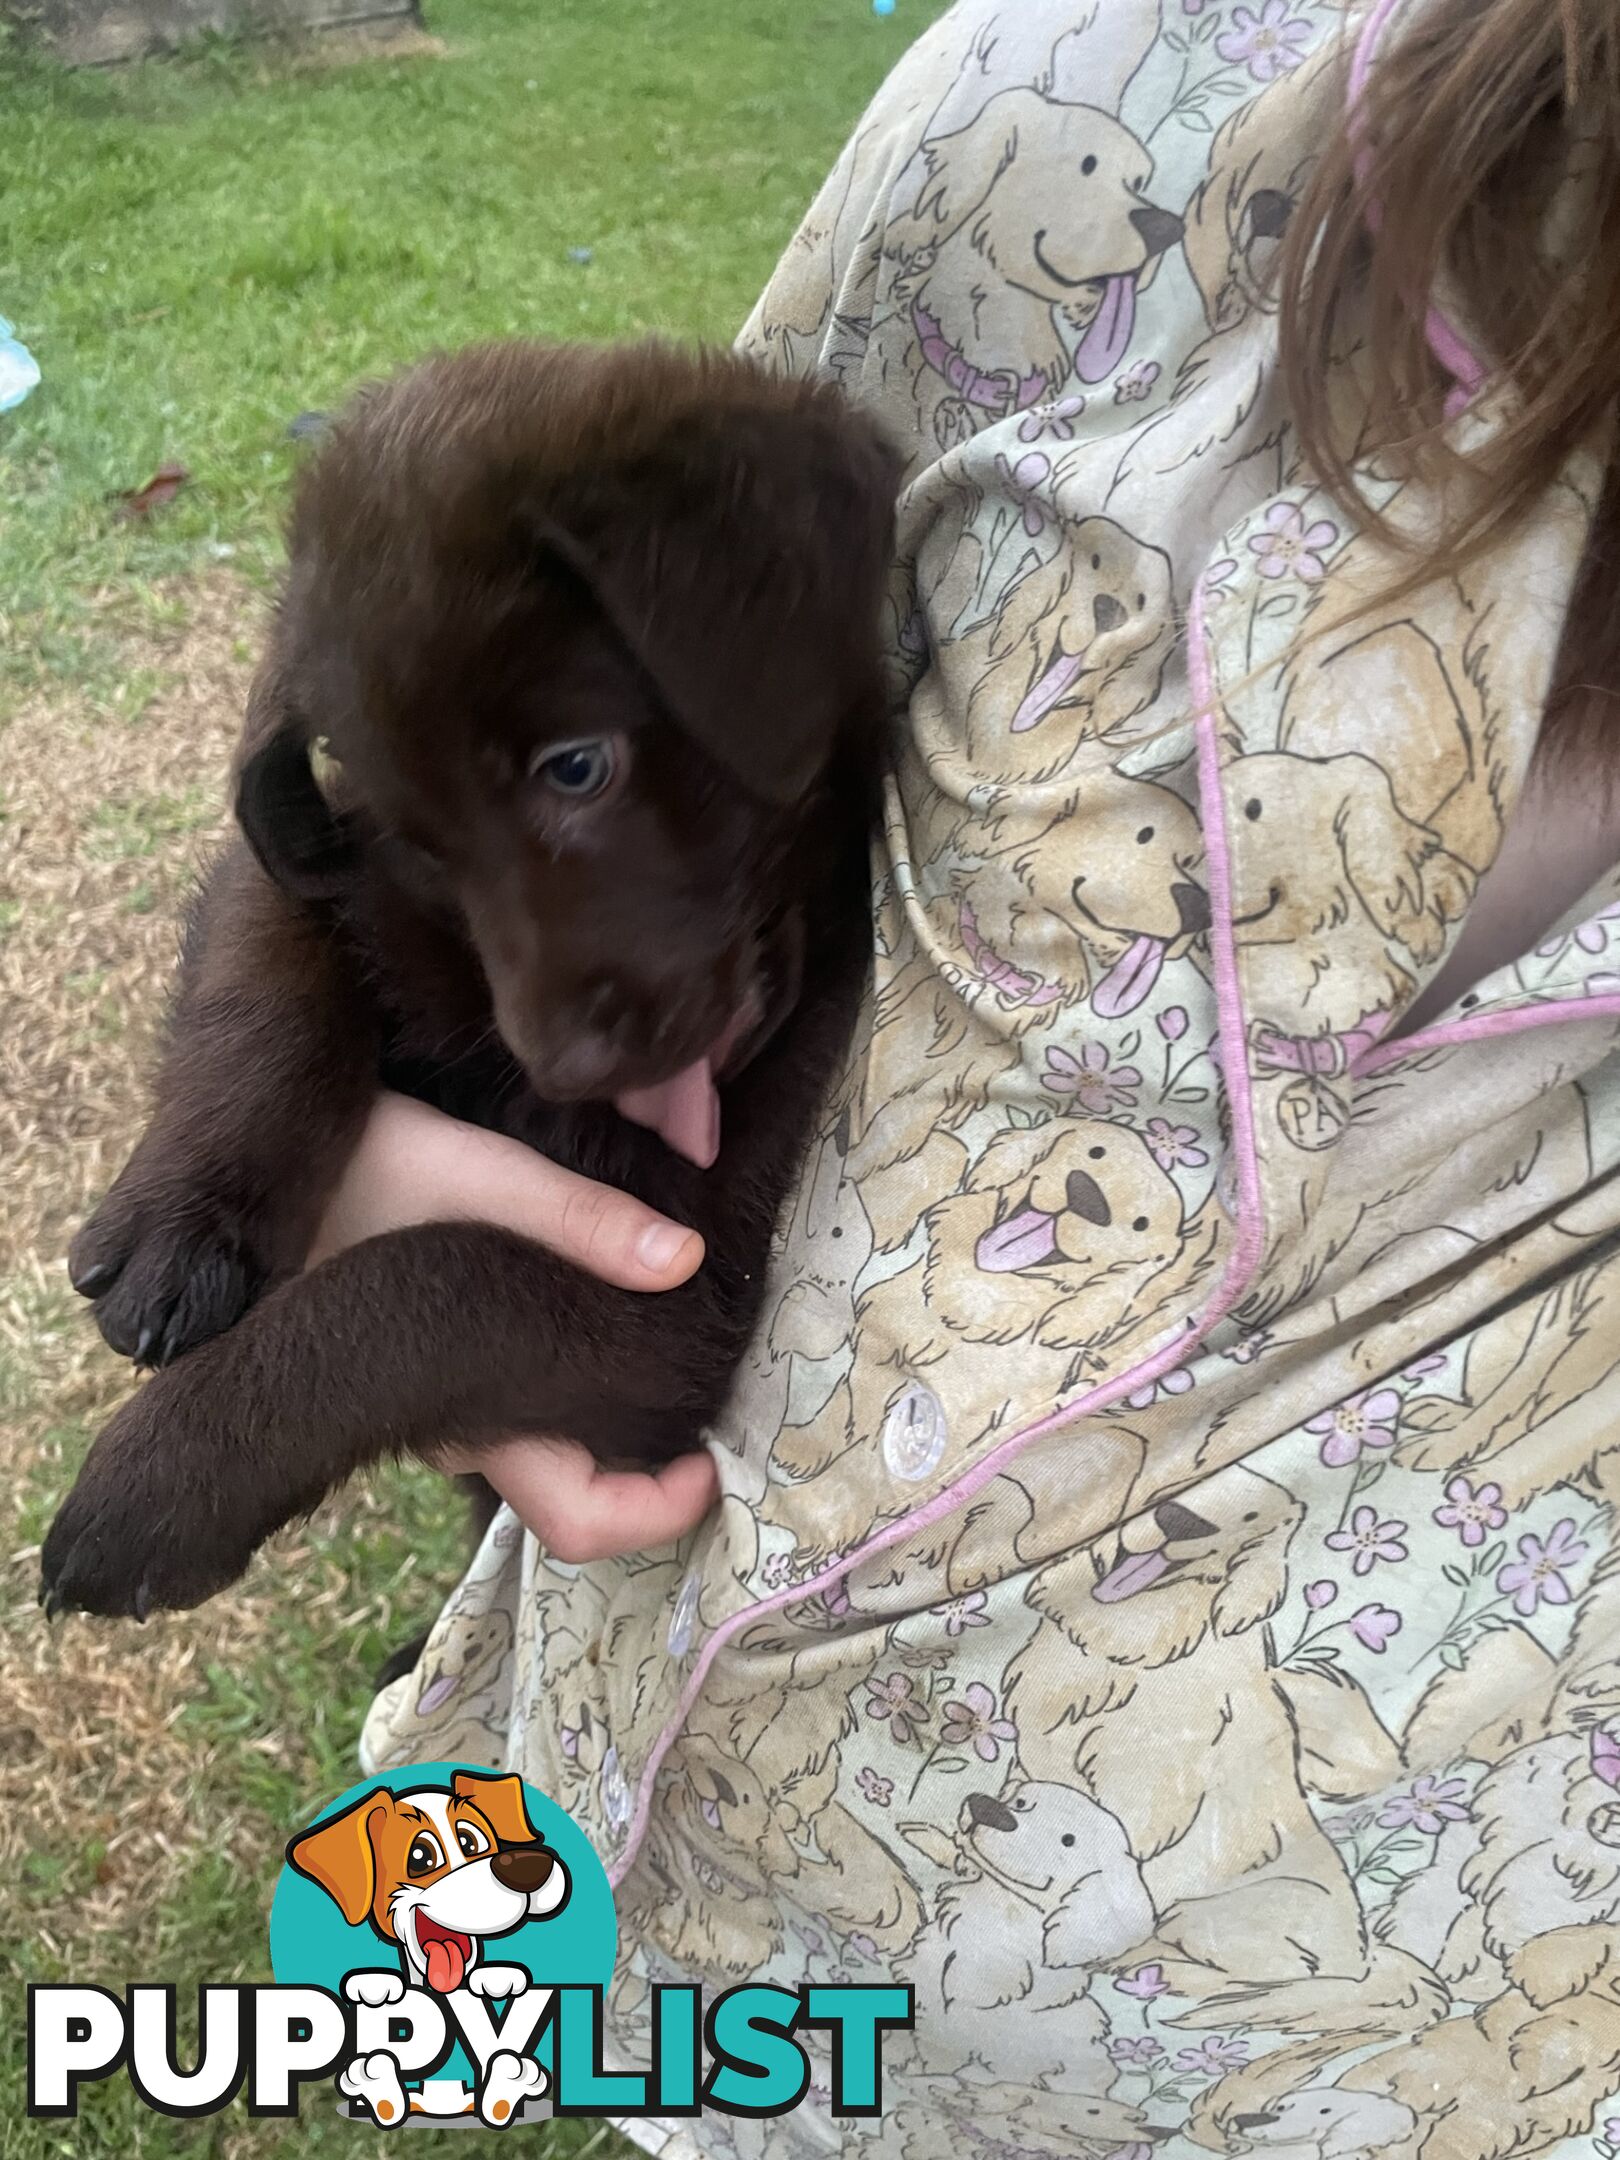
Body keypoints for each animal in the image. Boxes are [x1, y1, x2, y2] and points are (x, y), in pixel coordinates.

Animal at [44, 336, 902, 1624]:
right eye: (425, 843)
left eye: (577, 767)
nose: (567, 1068)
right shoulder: (316, 862)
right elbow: (267, 973)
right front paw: (181, 1217)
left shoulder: (678, 1304)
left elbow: (424, 1285)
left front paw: (159, 1479)